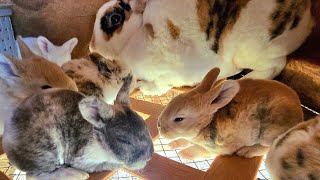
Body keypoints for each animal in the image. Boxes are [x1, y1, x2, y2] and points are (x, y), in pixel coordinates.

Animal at [1, 75, 153, 180]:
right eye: (123, 140)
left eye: (144, 125)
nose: (149, 156)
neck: (98, 138)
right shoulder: (83, 159)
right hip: (47, 152)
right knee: (33, 176)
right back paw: (77, 175)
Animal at [89, 0, 314, 95]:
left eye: (115, 18)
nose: (91, 47)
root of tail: (307, 17)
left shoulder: (168, 73)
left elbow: (161, 85)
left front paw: (146, 88)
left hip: (251, 51)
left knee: (277, 64)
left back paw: (246, 80)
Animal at [158, 68, 304, 160]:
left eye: (179, 119)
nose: (159, 126)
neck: (206, 124)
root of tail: (299, 113)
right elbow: (184, 140)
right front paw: (172, 145)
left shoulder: (219, 149)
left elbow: (201, 150)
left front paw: (184, 154)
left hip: (269, 133)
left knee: (267, 147)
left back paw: (246, 152)